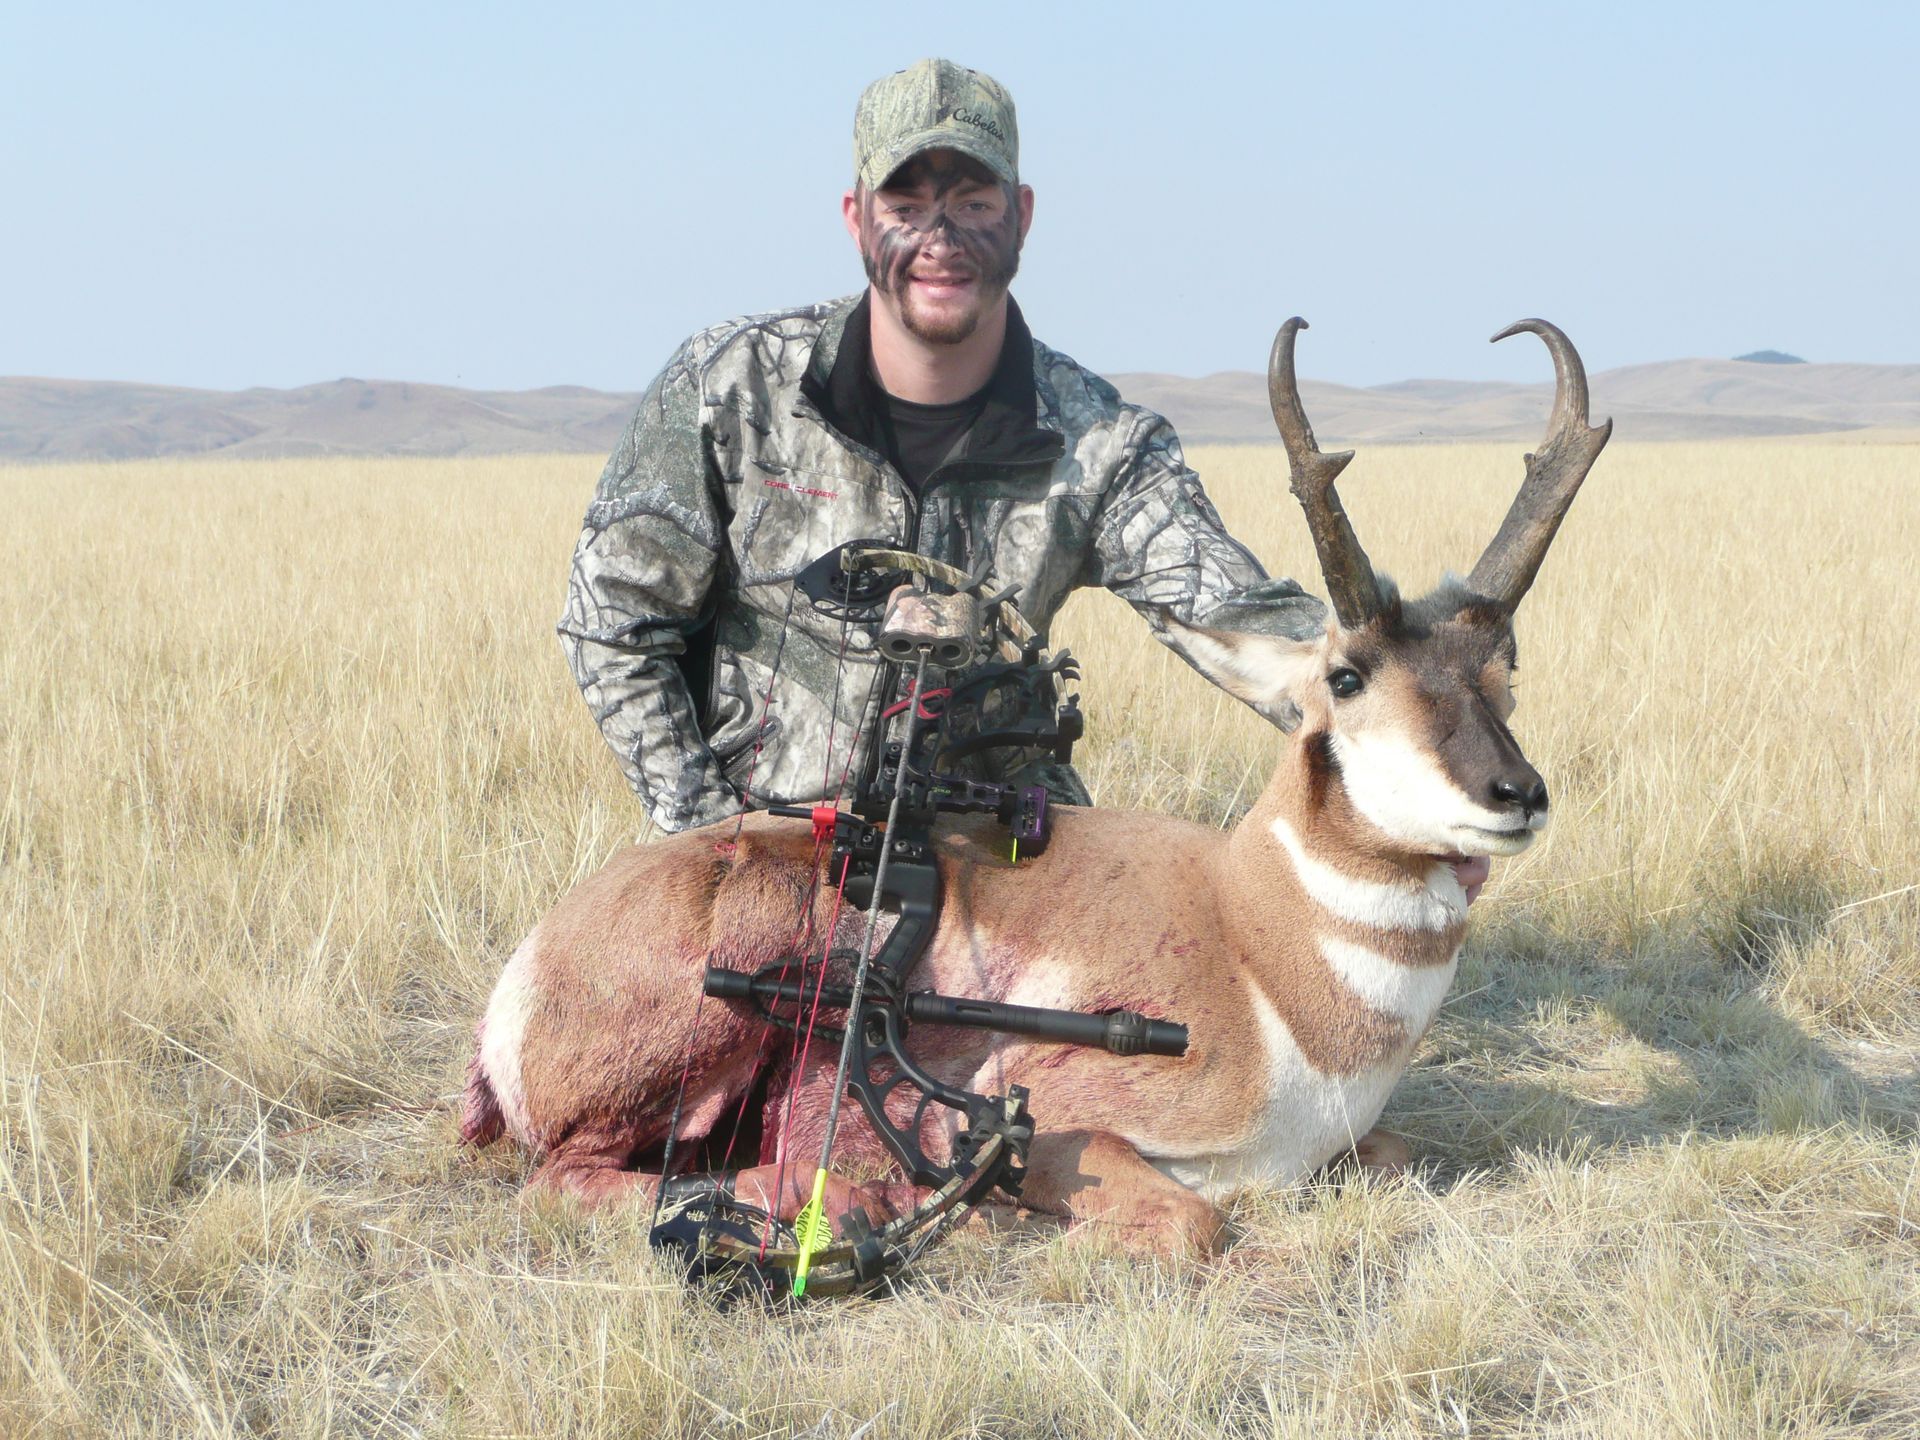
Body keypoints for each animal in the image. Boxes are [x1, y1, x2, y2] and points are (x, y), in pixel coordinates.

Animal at [460, 318, 1611, 1255]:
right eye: (1346, 676)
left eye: (1502, 673)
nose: (1515, 794)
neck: (1258, 938)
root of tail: (537, 959)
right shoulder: (1072, 1124)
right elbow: (1194, 1221)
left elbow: (1405, 1153)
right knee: (567, 1178)